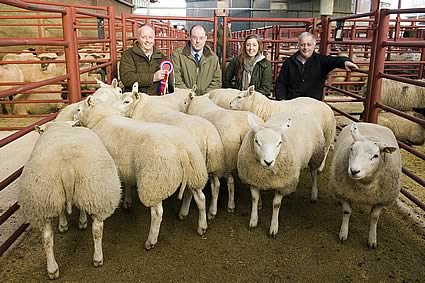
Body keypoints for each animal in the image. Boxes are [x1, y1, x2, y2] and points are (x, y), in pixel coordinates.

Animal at [17, 121, 121, 280]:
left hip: (44, 200)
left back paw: (53, 269)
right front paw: (78, 222)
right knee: (97, 229)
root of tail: (68, 169)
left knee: (47, 237)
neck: (60, 126)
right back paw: (96, 259)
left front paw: (66, 224)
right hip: (92, 192)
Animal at [77, 96, 210, 250]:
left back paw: (150, 241)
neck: (101, 119)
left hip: (154, 181)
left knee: (157, 213)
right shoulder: (125, 166)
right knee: (201, 198)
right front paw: (127, 201)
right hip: (195, 173)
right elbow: (128, 182)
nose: (73, 118)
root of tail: (181, 148)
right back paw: (202, 226)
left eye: (78, 109)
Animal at [119, 82, 225, 220]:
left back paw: (184, 212)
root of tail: (208, 136)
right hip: (212, 163)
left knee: (192, 192)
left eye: (127, 101)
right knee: (215, 185)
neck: (140, 106)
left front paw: (127, 201)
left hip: (195, 166)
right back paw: (212, 211)